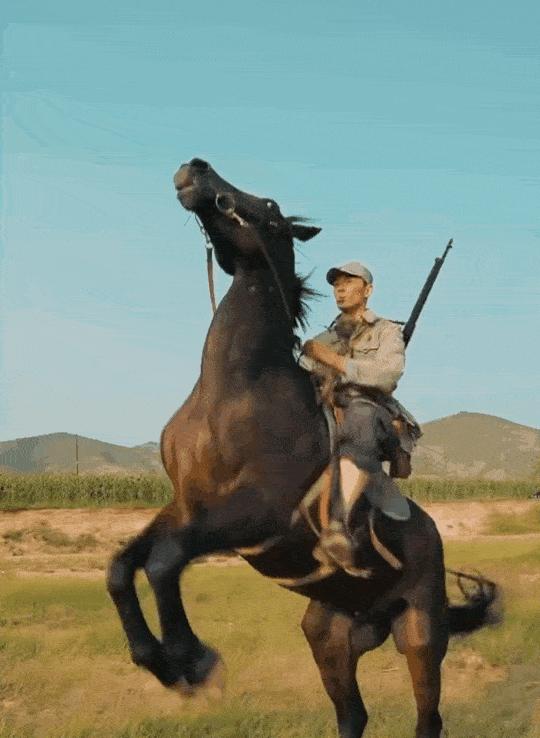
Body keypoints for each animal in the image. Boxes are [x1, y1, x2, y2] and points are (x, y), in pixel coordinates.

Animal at [107, 158, 497, 738]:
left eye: (269, 207)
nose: (195, 168)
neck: (236, 388)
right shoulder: (186, 507)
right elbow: (123, 565)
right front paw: (158, 661)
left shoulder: (254, 516)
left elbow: (163, 562)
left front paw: (193, 662)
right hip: (329, 643)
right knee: (353, 716)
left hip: (422, 636)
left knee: (428, 718)